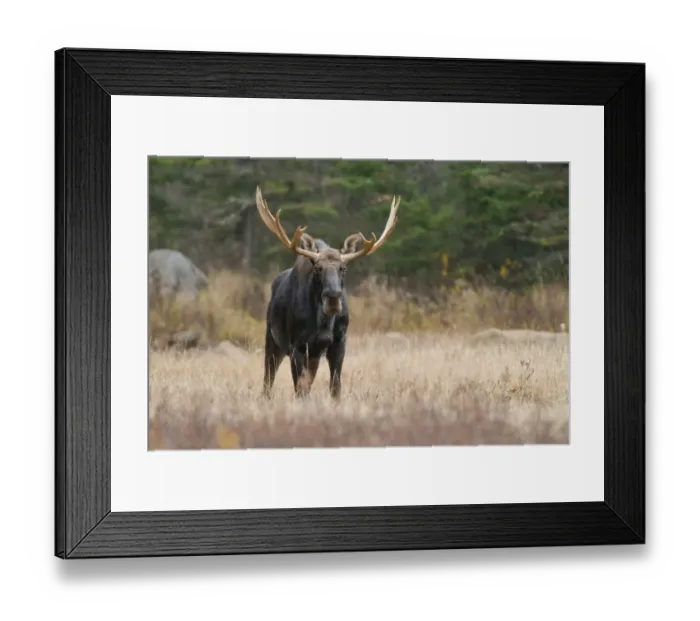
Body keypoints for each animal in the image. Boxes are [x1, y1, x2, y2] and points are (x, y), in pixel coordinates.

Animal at [254, 186, 400, 399]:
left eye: (343, 268)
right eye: (317, 268)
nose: (333, 297)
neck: (323, 325)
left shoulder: (338, 342)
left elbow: (335, 387)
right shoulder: (297, 345)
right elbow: (300, 389)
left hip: (313, 355)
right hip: (272, 340)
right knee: (267, 380)